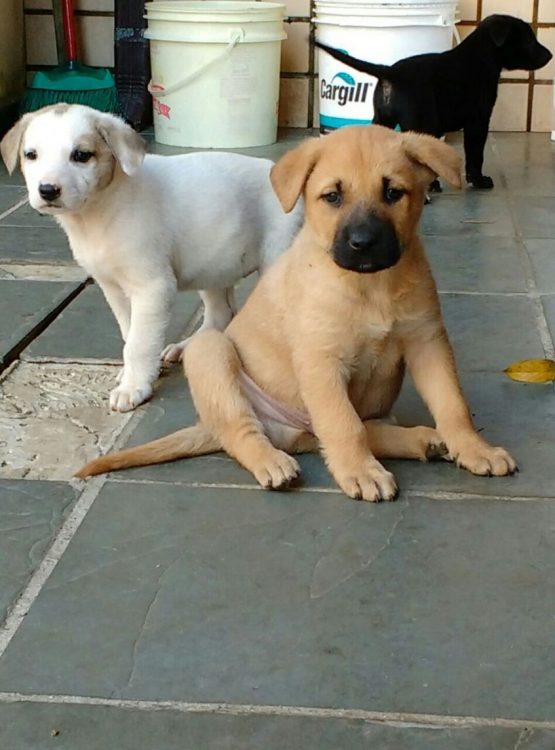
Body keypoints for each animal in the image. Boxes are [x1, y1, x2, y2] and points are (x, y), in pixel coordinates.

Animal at [0, 104, 303, 411]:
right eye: (31, 155)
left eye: (81, 155)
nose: (48, 190)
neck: (98, 213)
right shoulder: (113, 289)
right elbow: (129, 334)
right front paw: (130, 375)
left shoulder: (152, 288)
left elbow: (139, 343)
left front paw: (133, 387)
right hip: (215, 265)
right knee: (221, 313)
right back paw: (189, 346)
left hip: (276, 258)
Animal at [76, 125, 517, 501]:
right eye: (333, 196)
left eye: (393, 193)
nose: (363, 243)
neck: (370, 287)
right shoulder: (321, 361)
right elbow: (342, 424)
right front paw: (361, 472)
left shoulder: (428, 342)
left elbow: (452, 404)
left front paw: (474, 448)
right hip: (211, 354)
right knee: (244, 431)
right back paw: (273, 463)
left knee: (348, 432)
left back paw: (424, 439)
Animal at [316, 15, 552, 189]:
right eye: (528, 39)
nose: (550, 55)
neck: (482, 55)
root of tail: (390, 71)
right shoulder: (478, 121)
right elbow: (475, 153)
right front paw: (478, 180)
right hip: (420, 123)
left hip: (382, 119)